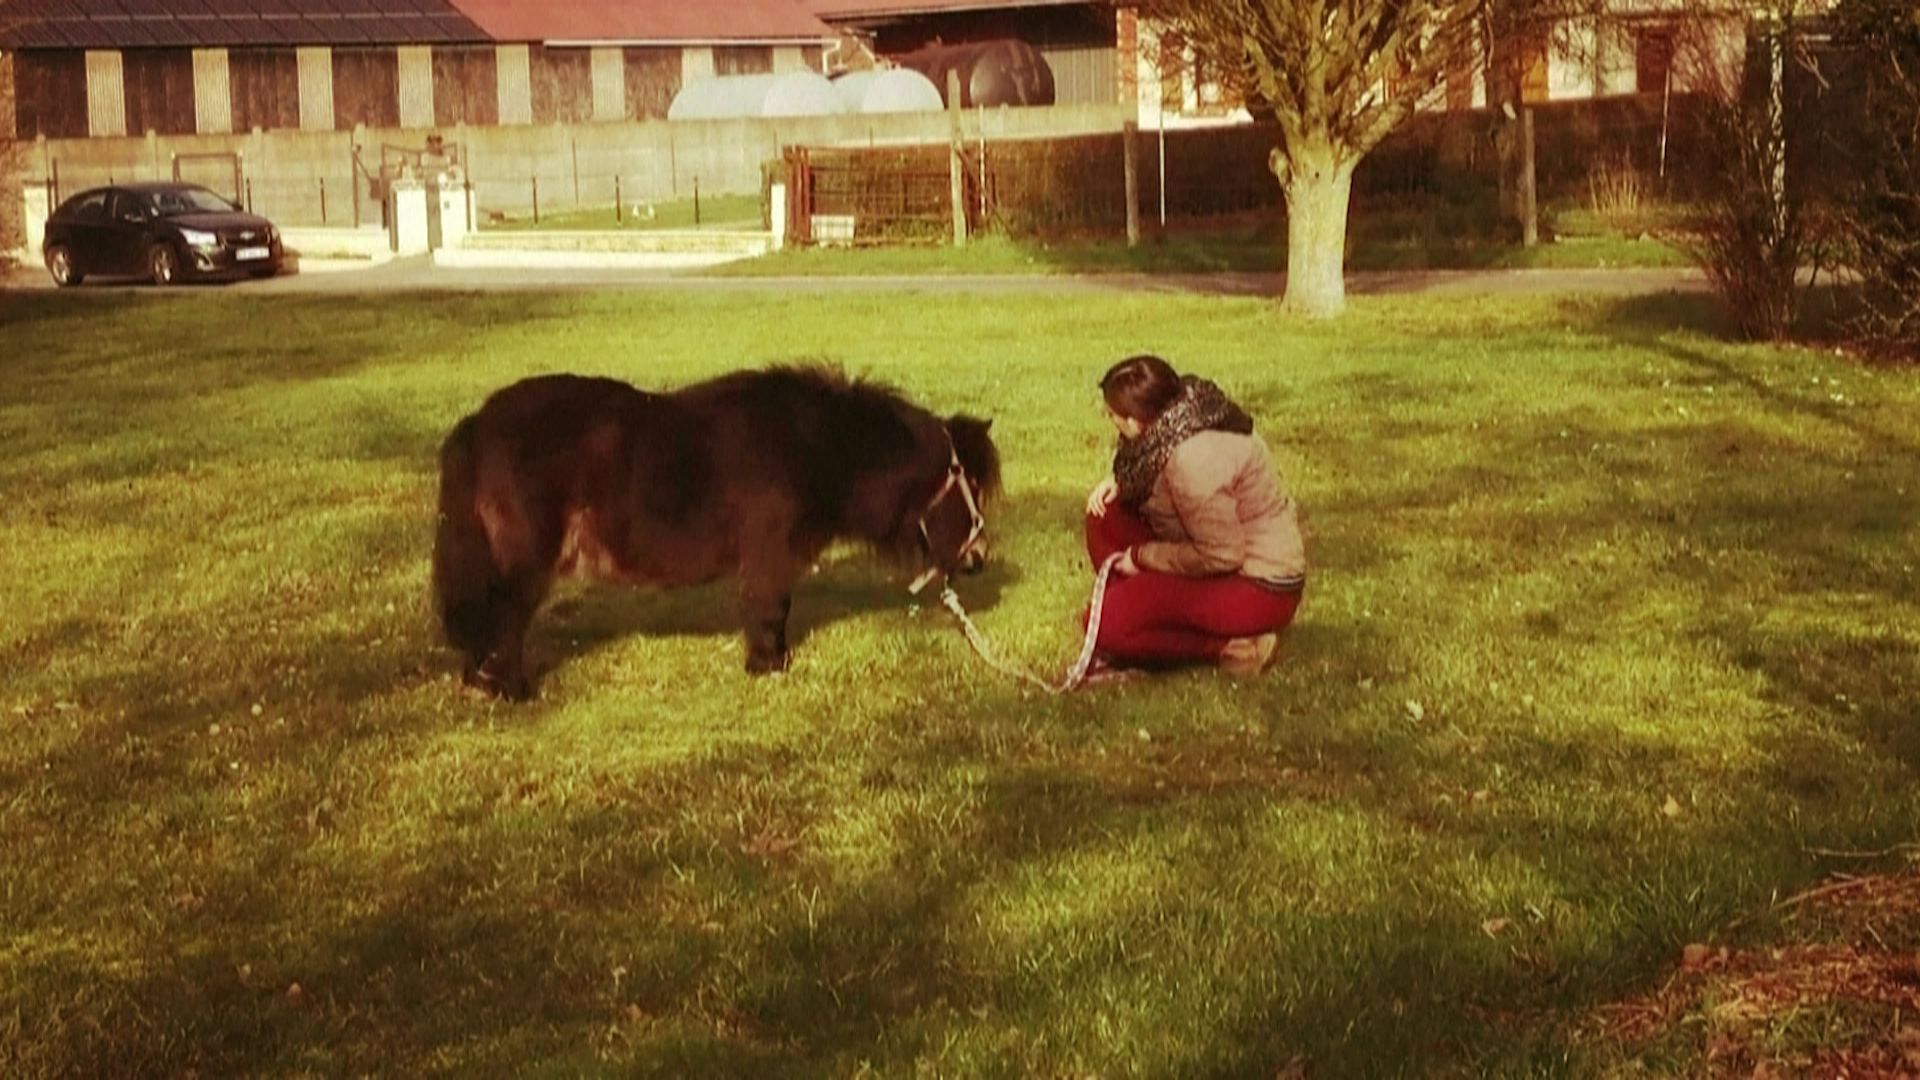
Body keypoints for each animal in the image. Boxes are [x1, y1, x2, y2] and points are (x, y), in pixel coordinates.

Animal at [433, 365, 998, 691]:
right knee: (506, 614)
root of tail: (477, 424)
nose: (979, 558)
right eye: (968, 478)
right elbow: (770, 607)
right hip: (525, 559)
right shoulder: (770, 554)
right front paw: (769, 665)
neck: (816, 444)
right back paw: (510, 688)